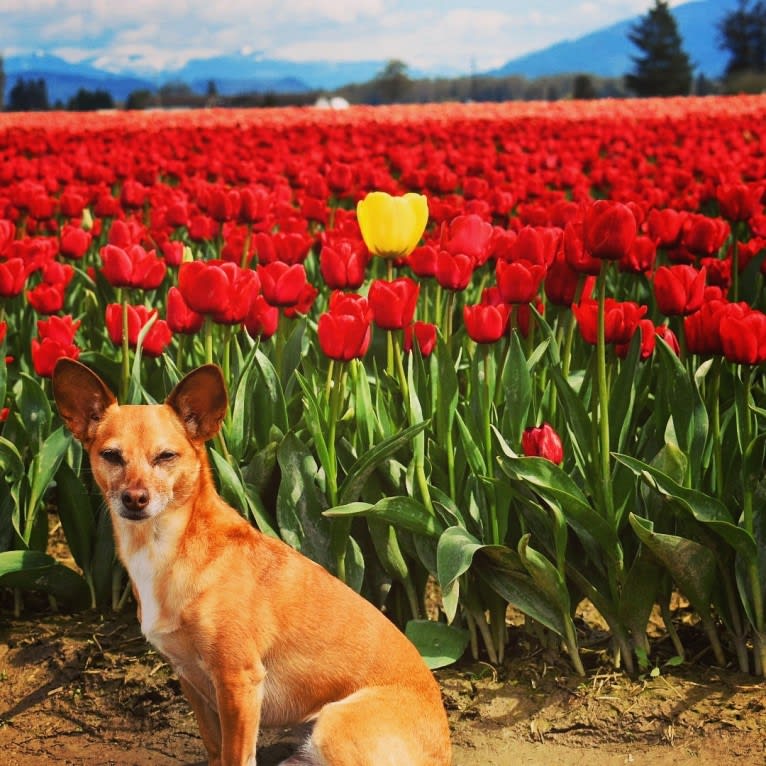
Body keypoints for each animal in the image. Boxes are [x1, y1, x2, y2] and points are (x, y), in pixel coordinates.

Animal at [52, 362, 450, 766]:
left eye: (166, 456)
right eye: (111, 456)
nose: (135, 498)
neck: (168, 548)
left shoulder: (237, 680)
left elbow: (236, 755)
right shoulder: (190, 678)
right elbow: (215, 748)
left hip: (334, 726)